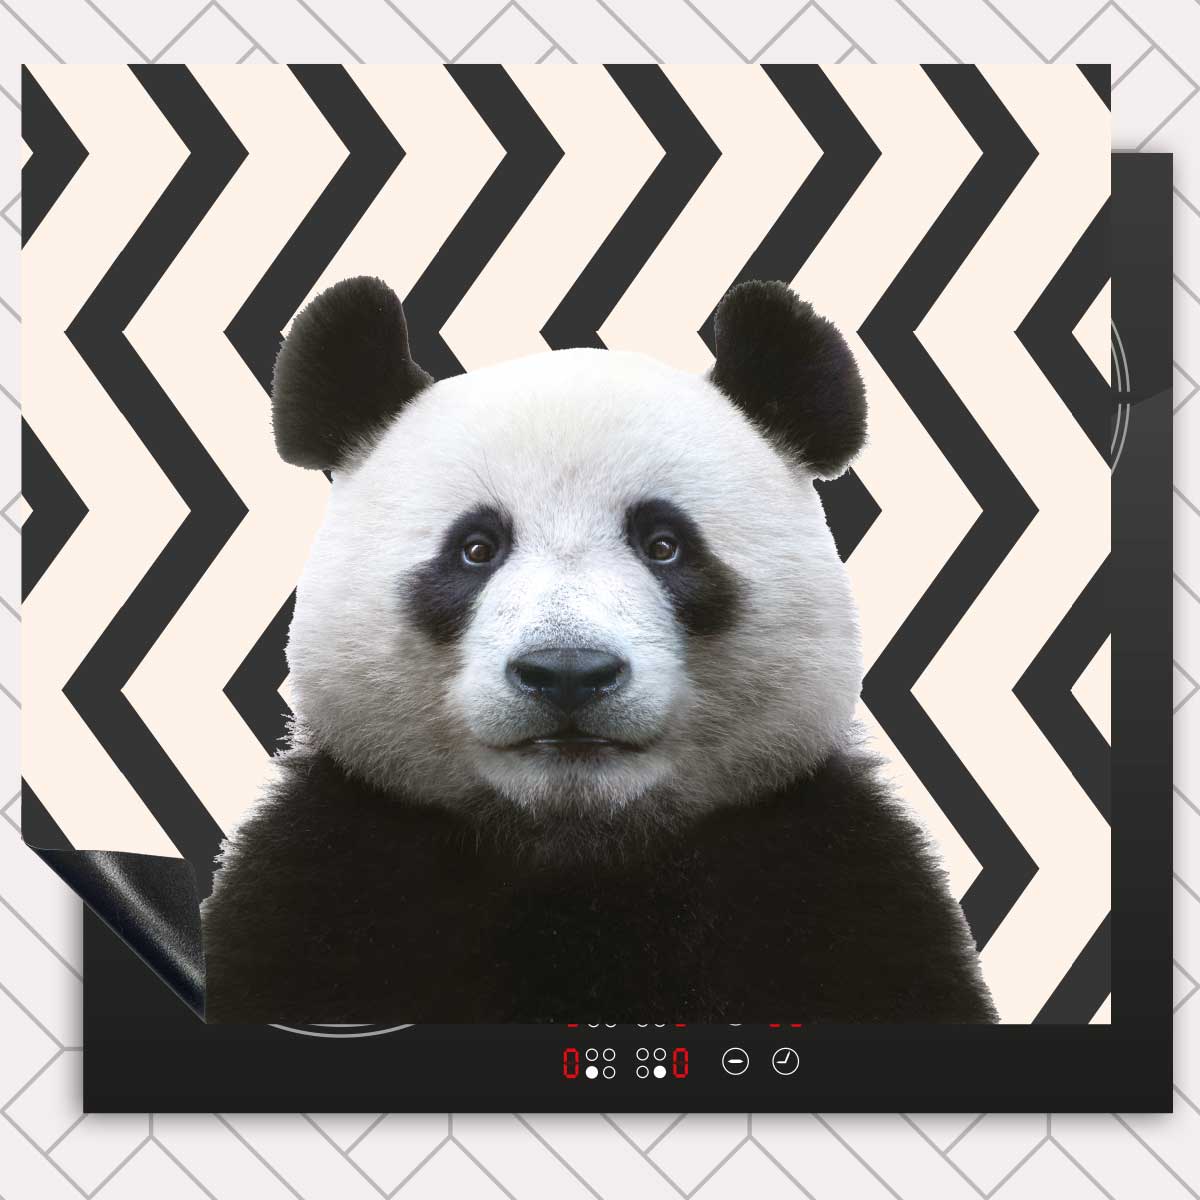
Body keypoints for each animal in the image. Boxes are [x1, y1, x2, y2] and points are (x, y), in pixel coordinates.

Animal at [200, 276, 997, 1025]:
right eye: (476, 548)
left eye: (665, 544)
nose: (567, 673)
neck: (580, 849)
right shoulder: (333, 878)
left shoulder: (830, 879)